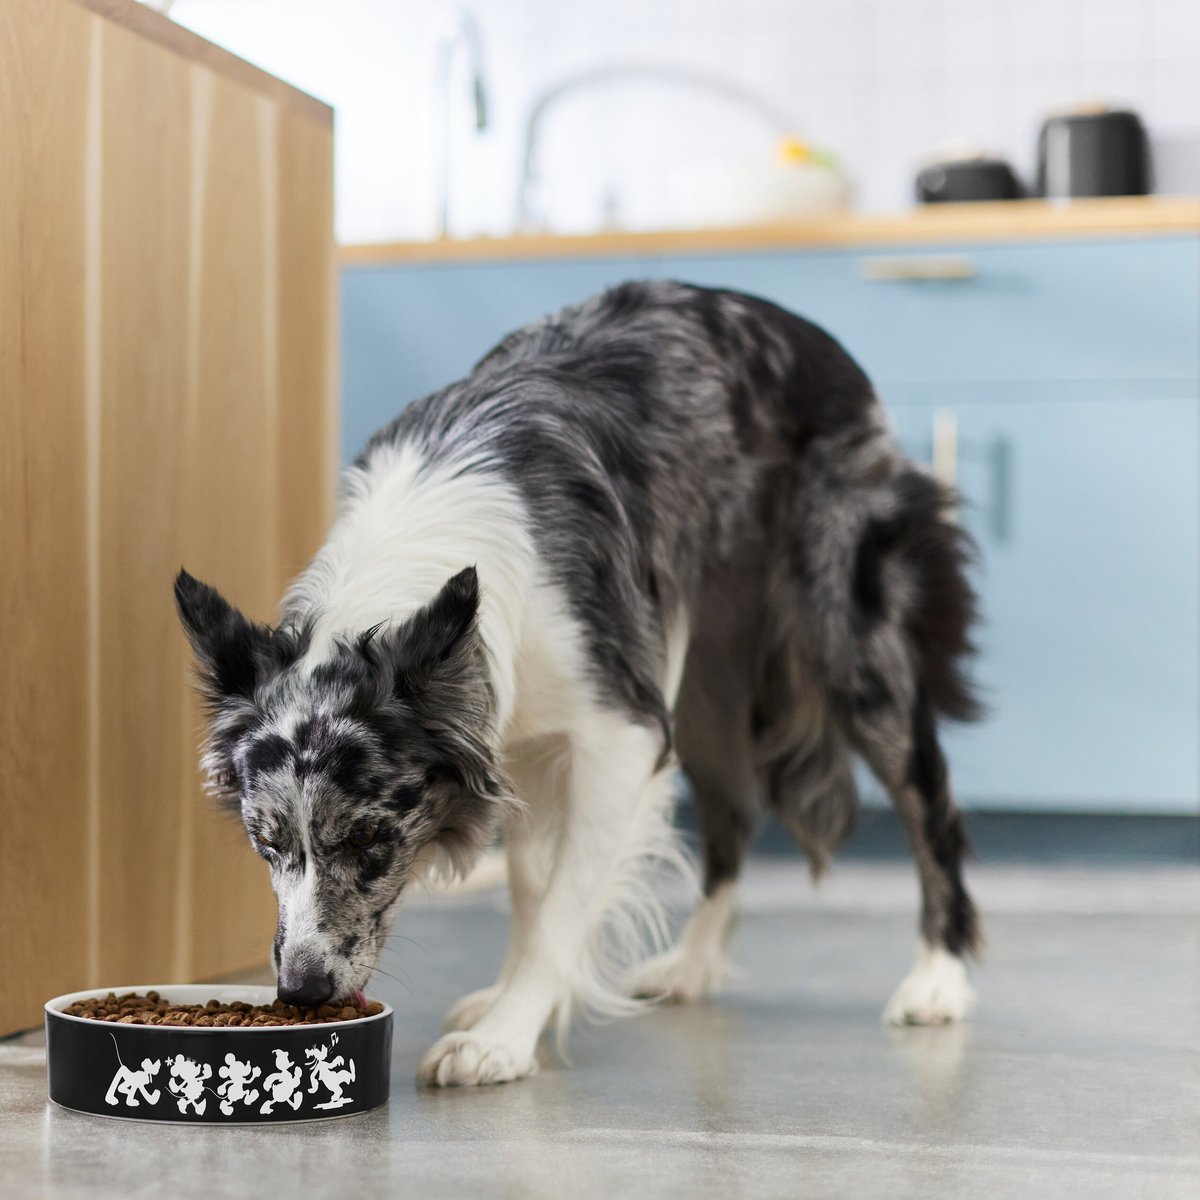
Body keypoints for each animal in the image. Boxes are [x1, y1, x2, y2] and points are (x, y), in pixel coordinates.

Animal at [174, 278, 979, 1089]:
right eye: (264, 842)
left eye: (371, 834)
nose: (301, 992)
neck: (394, 583)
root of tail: (803, 329)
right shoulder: (521, 734)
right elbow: (532, 889)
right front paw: (514, 1003)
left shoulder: (620, 736)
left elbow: (562, 907)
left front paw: (503, 1036)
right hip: (702, 692)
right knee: (734, 813)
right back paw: (691, 965)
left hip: (847, 643)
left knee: (931, 806)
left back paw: (938, 980)